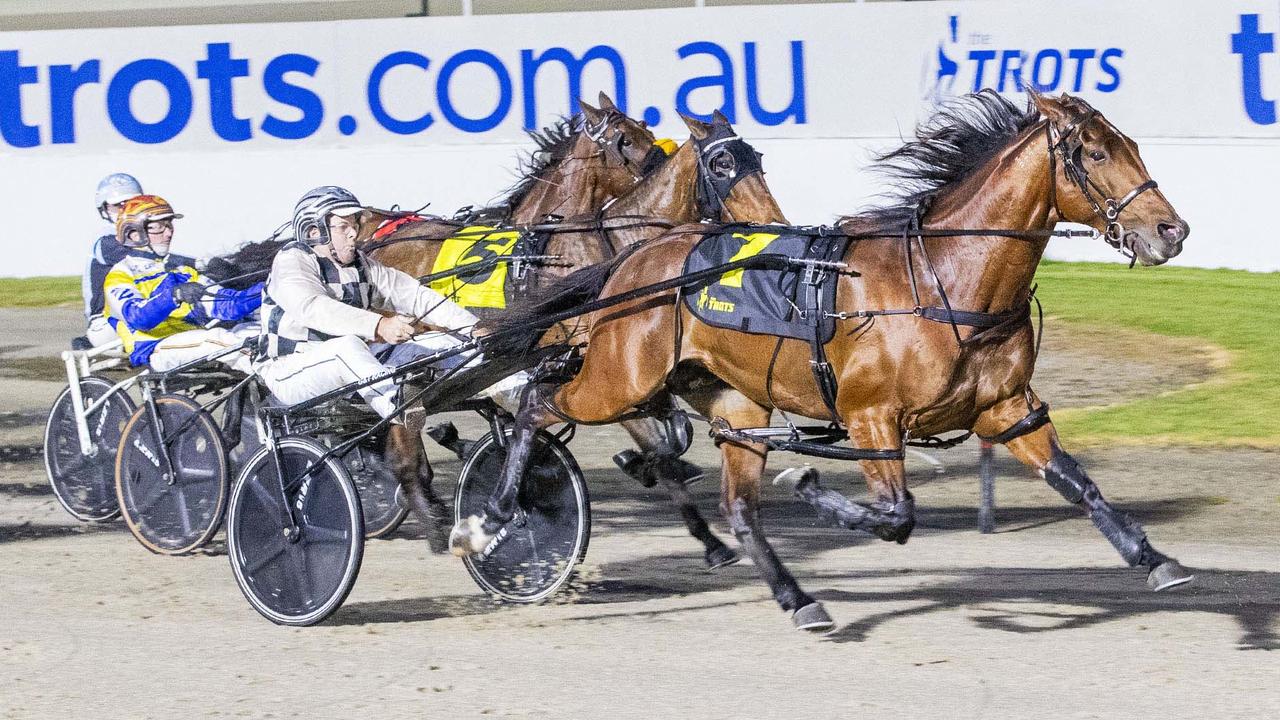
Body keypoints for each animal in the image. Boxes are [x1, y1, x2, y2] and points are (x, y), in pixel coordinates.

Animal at [458, 89, 1187, 627]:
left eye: (1130, 144)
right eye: (1093, 152)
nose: (1171, 230)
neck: (946, 278)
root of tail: (634, 257)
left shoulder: (1008, 408)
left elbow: (1079, 483)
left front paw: (1154, 557)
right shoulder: (871, 418)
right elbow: (896, 516)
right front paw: (809, 484)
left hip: (735, 401)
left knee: (739, 508)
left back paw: (797, 598)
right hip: (619, 377)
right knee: (536, 402)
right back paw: (494, 515)